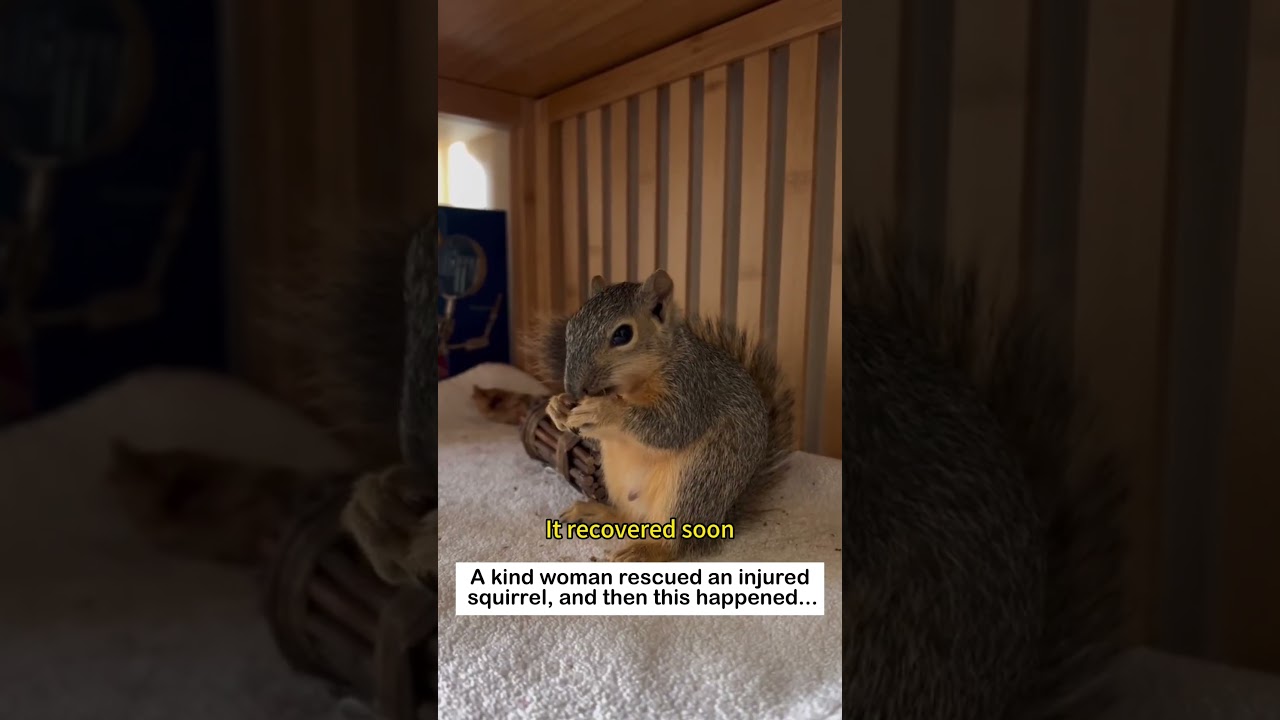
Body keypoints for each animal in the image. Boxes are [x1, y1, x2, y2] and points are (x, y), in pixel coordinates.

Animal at [537, 269, 795, 563]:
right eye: (570, 328)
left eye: (623, 334)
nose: (573, 389)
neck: (631, 386)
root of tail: (723, 517)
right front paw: (556, 406)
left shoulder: (693, 388)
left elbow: (671, 427)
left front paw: (605, 410)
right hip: (614, 475)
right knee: (629, 518)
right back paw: (598, 512)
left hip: (697, 479)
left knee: (678, 542)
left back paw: (647, 550)